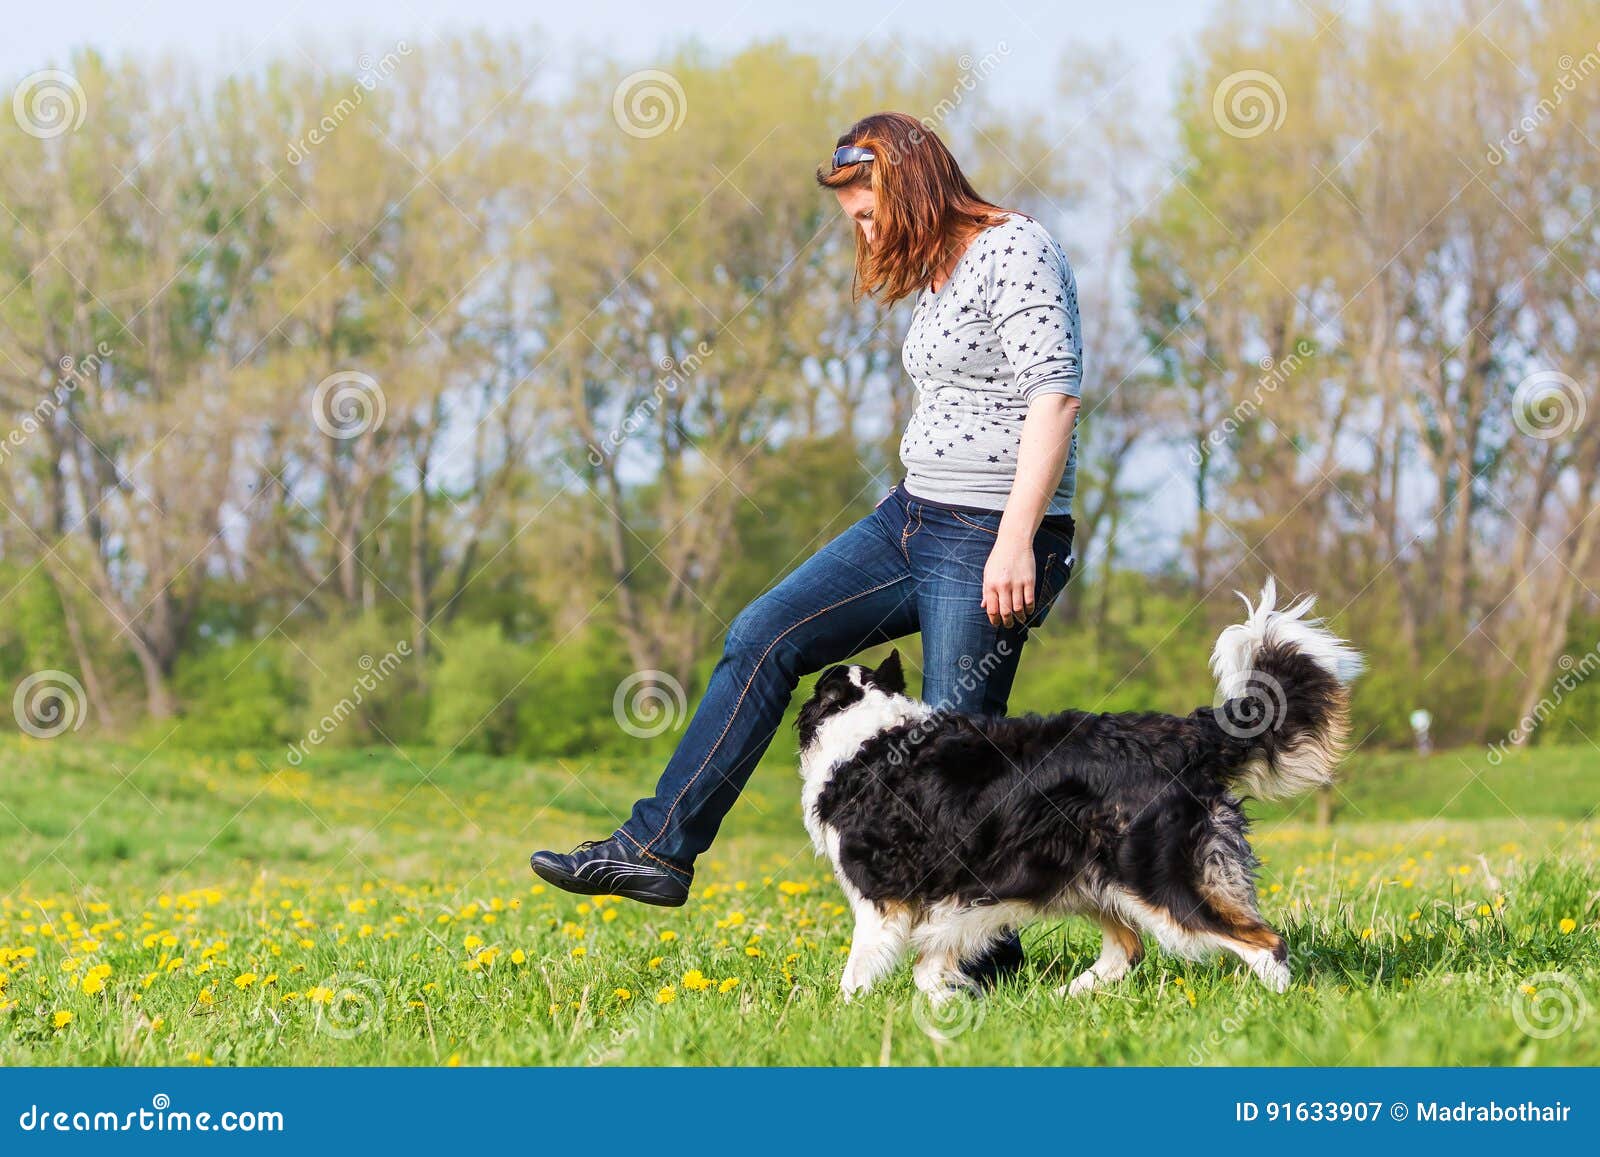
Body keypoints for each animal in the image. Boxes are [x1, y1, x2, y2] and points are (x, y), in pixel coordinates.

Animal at [796, 579, 1363, 1004]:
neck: (866, 731)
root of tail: (1187, 736)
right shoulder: (964, 894)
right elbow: (931, 962)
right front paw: (945, 1002)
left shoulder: (882, 899)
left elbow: (861, 969)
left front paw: (844, 1013)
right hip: (1090, 877)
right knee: (1126, 951)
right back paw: (1059, 998)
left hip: (1156, 877)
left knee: (1265, 943)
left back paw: (1274, 1004)